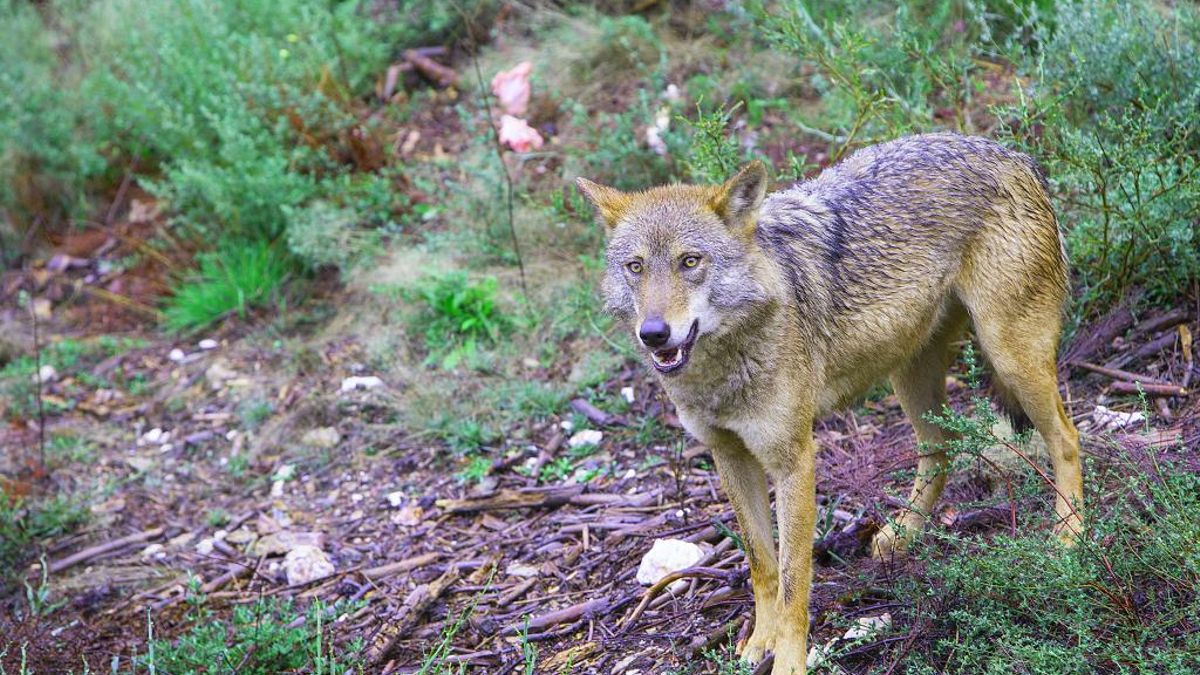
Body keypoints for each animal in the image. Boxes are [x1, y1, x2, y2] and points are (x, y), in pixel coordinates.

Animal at [576, 133, 1084, 674]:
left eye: (689, 261)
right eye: (635, 267)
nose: (653, 334)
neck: (724, 367)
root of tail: (1012, 153)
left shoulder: (794, 461)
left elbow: (794, 579)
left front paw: (789, 661)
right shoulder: (729, 456)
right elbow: (761, 563)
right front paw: (759, 642)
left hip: (1010, 358)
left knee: (1067, 438)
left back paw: (1069, 537)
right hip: (910, 376)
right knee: (941, 448)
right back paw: (904, 535)